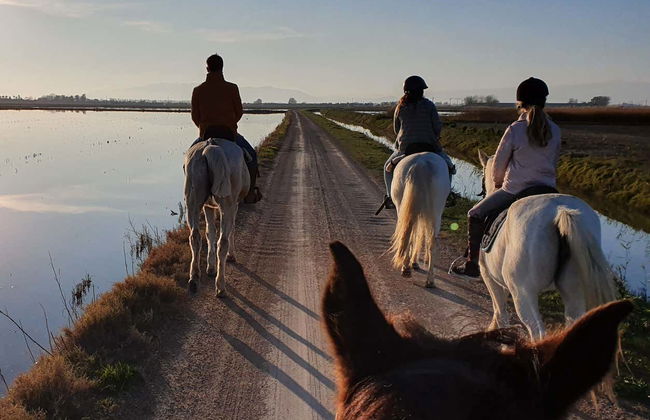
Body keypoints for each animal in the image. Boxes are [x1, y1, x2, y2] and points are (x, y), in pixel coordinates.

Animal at [183, 138, 250, 296]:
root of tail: (211, 145)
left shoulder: (208, 206)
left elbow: (210, 232)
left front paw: (210, 267)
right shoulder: (234, 205)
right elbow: (230, 230)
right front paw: (231, 256)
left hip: (193, 200)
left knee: (195, 237)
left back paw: (194, 279)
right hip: (227, 204)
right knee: (223, 241)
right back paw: (220, 286)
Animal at [389, 152, 450, 286]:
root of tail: (421, 164)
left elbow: (416, 234)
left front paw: (413, 261)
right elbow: (420, 234)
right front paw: (415, 261)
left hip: (402, 206)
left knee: (407, 233)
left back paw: (406, 269)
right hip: (435, 212)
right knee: (432, 242)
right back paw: (430, 280)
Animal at [474, 150, 618, 339]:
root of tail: (561, 210)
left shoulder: (489, 276)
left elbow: (500, 311)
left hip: (523, 293)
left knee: (538, 332)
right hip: (574, 292)